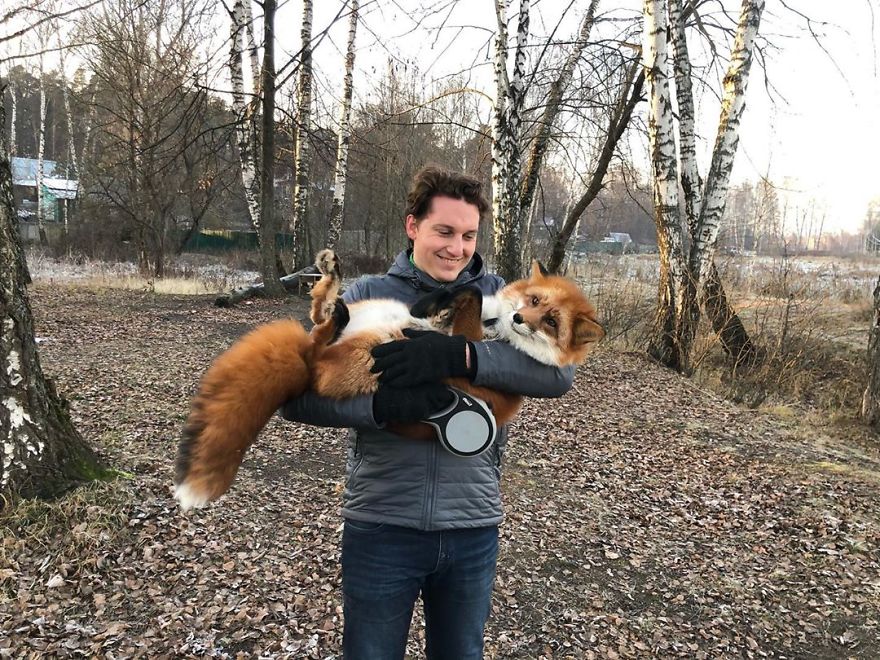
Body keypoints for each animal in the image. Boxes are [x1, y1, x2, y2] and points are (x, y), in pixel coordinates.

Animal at [173, 249, 604, 511]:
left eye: (551, 322)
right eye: (533, 301)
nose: (517, 319)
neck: (492, 333)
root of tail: (307, 368)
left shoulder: (469, 349)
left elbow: (467, 303)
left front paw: (442, 312)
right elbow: (468, 291)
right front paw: (435, 301)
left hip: (365, 353)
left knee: (319, 340)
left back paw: (334, 314)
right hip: (376, 314)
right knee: (317, 314)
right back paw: (332, 282)